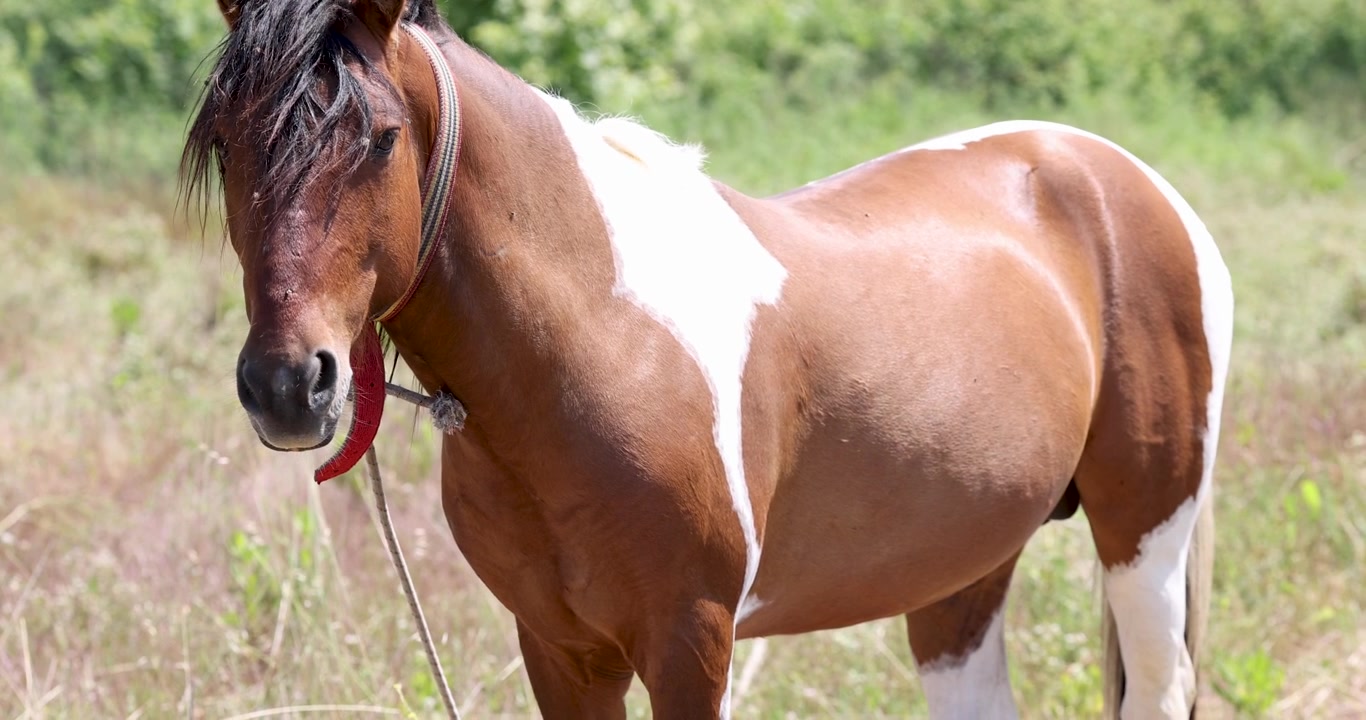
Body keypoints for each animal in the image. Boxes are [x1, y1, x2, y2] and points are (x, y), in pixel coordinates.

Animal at [183, 1, 1234, 717]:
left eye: (381, 139)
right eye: (226, 146)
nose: (288, 385)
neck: (604, 339)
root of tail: (1120, 175)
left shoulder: (690, 640)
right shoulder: (560, 650)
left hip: (1147, 535)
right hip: (961, 568)